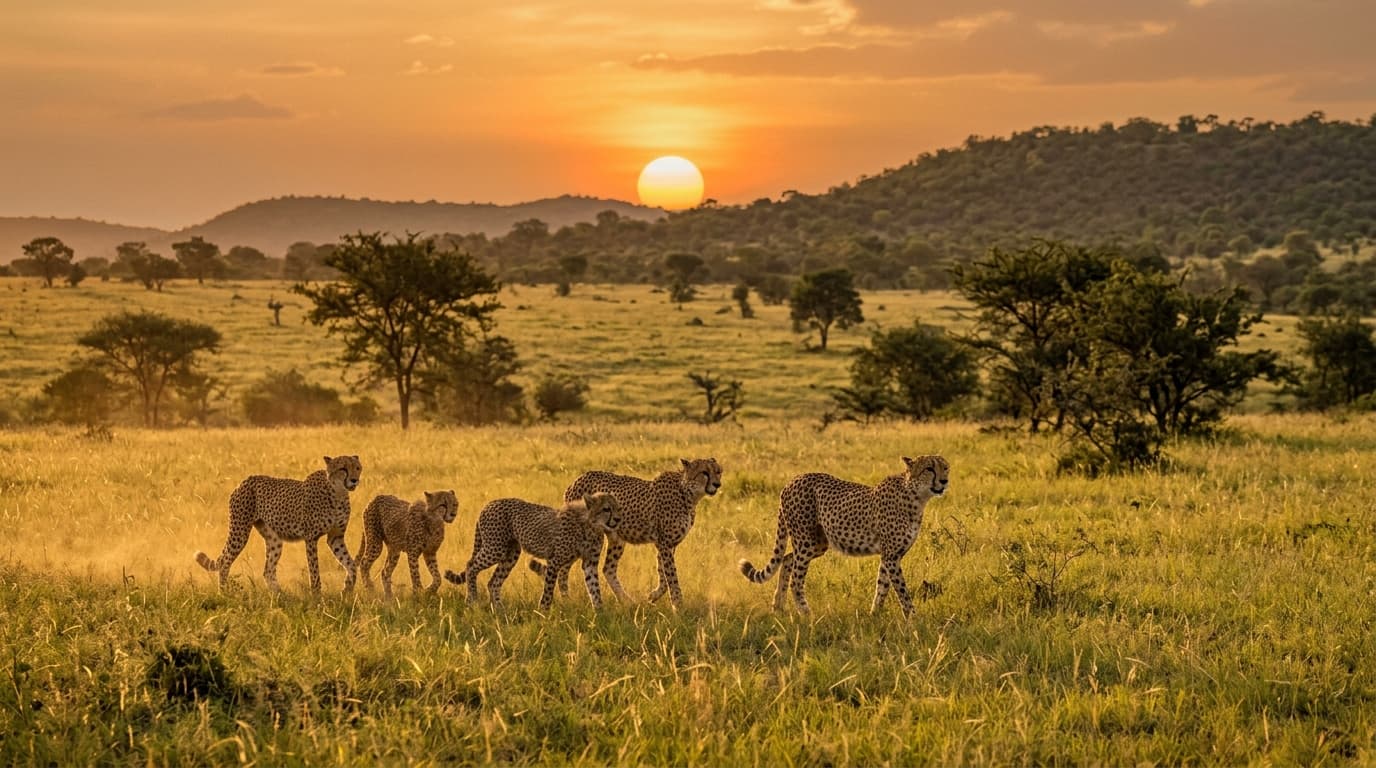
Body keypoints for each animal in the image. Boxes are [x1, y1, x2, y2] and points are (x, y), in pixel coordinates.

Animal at [195, 455, 362, 593]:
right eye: (343, 468)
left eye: (357, 468)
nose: (354, 479)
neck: (338, 493)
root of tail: (245, 480)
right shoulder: (311, 538)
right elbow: (314, 571)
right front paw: (317, 597)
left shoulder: (335, 537)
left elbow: (351, 563)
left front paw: (347, 588)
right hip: (239, 531)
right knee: (225, 562)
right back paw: (224, 593)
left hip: (274, 540)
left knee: (267, 571)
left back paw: (281, 596)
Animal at [443, 492, 621, 609]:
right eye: (606, 509)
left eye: (617, 507)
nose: (618, 519)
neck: (591, 525)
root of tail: (489, 504)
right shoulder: (554, 561)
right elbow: (548, 589)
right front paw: (543, 612)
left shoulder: (589, 562)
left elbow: (594, 588)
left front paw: (600, 613)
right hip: (495, 548)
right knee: (470, 565)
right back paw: (472, 599)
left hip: (510, 554)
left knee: (493, 582)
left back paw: (500, 609)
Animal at [563, 458, 722, 608]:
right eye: (704, 473)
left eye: (718, 471)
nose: (717, 484)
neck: (688, 494)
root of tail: (577, 480)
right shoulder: (664, 543)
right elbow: (671, 575)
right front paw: (678, 605)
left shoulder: (668, 545)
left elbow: (663, 574)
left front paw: (654, 595)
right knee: (569, 567)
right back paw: (566, 599)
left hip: (617, 539)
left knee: (607, 569)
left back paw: (626, 600)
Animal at [739, 455, 949, 616]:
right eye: (929, 469)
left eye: (945, 467)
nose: (944, 481)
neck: (916, 497)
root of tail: (792, 480)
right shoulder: (891, 556)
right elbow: (901, 590)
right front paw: (913, 618)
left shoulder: (890, 555)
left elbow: (882, 586)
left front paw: (874, 615)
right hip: (806, 541)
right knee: (796, 580)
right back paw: (806, 614)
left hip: (817, 543)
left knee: (787, 558)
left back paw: (778, 607)